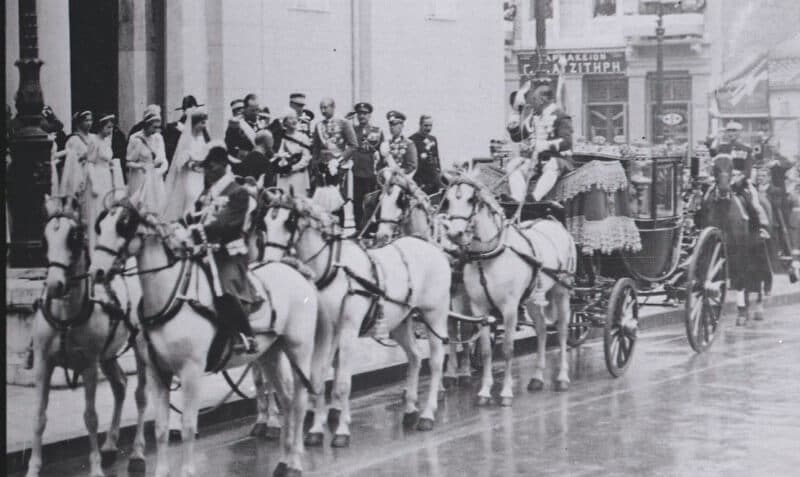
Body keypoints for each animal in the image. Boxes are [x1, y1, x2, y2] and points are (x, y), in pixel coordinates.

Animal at [27, 194, 146, 476]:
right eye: (45, 238)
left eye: (76, 236)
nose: (54, 285)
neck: (65, 319)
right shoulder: (43, 364)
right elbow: (39, 417)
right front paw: (33, 467)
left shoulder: (89, 365)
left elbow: (90, 417)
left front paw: (95, 467)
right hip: (108, 355)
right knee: (120, 387)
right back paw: (111, 444)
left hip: (139, 346)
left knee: (141, 396)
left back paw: (137, 452)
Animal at [90, 202, 318, 476]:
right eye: (100, 226)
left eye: (123, 226)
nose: (97, 272)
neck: (171, 299)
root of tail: (295, 271)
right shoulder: (158, 372)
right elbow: (161, 428)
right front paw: (161, 471)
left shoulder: (191, 372)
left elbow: (188, 425)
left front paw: (187, 471)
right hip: (270, 354)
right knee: (286, 399)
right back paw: (284, 461)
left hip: (299, 350)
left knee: (299, 402)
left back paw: (295, 462)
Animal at [262, 190, 450, 446]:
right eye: (264, 222)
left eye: (288, 221)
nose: (268, 262)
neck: (333, 269)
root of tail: (427, 243)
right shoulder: (325, 332)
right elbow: (318, 378)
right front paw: (316, 429)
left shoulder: (348, 330)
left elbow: (342, 383)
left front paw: (341, 430)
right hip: (399, 322)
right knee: (414, 356)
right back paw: (411, 409)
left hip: (435, 315)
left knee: (437, 361)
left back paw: (428, 414)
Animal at [376, 167, 476, 386]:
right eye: (381, 198)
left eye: (401, 199)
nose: (381, 236)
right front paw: (448, 375)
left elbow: (462, 327)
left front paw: (462, 371)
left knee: (466, 325)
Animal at [438, 169, 576, 404]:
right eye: (447, 200)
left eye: (472, 199)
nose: (455, 234)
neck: (488, 256)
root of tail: (552, 222)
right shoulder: (480, 310)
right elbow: (486, 351)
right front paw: (484, 391)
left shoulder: (510, 308)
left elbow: (508, 349)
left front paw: (505, 392)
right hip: (532, 299)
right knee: (541, 329)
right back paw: (537, 377)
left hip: (561, 291)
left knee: (562, 330)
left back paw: (563, 377)